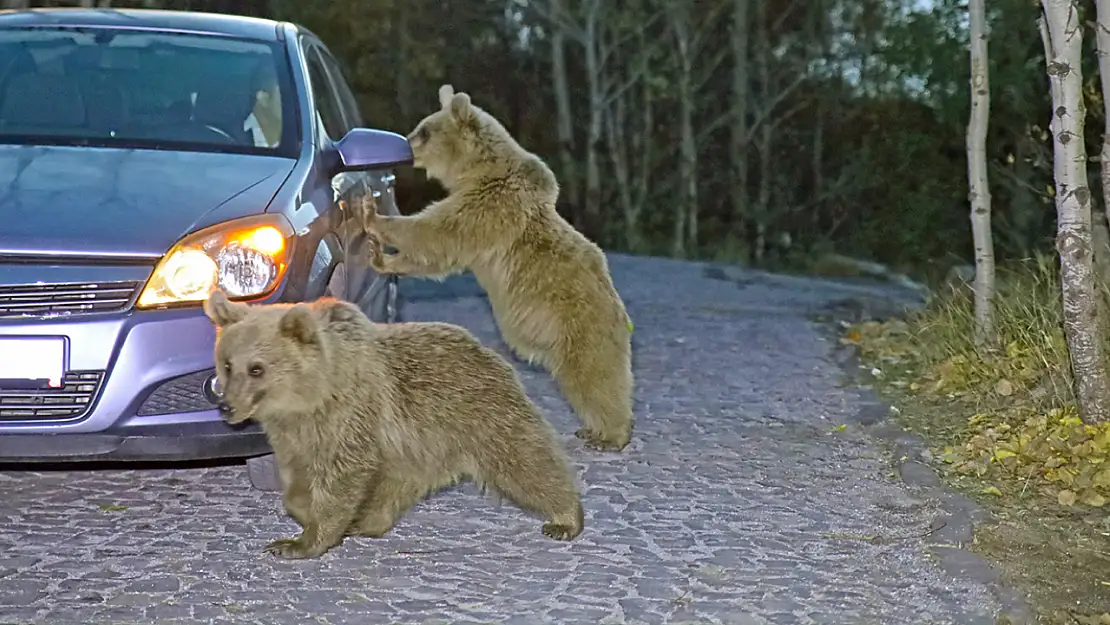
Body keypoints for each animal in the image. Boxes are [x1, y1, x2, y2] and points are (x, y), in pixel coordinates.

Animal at [202, 290, 581, 559]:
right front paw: (304, 513)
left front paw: (301, 541)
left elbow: (342, 477)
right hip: (415, 447)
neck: (311, 397)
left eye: (256, 368)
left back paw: (566, 517)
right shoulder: (293, 433)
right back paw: (367, 521)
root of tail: (489, 351)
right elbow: (297, 479)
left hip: (479, 415)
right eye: (227, 363)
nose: (226, 406)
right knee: (394, 486)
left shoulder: (351, 415)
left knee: (525, 462)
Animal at [355, 84, 634, 455]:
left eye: (425, 130)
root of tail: (620, 313)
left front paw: (373, 216)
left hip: (581, 325)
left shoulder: (489, 206)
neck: (476, 171)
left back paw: (610, 435)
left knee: (594, 377)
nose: (403, 145)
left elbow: (437, 232)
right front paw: (384, 258)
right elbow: (436, 253)